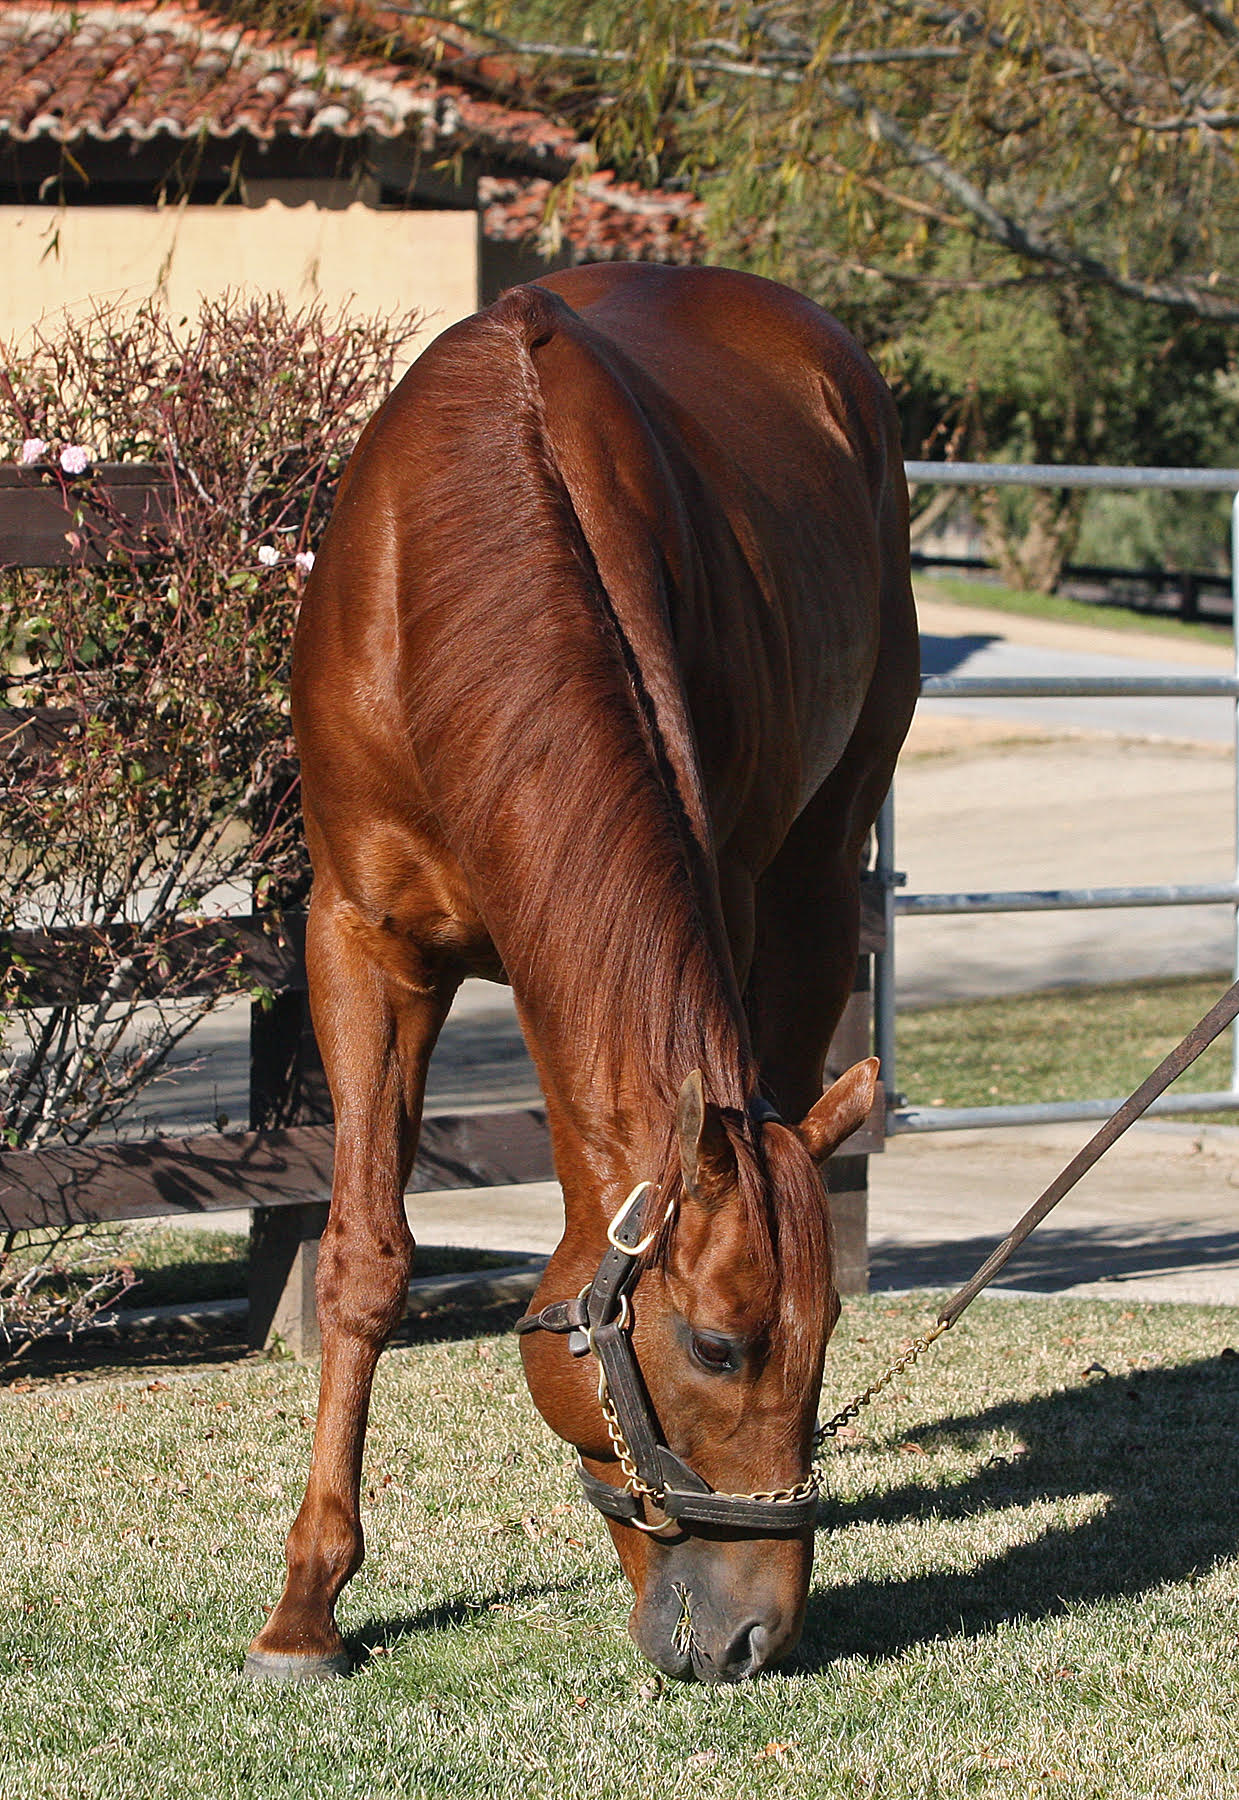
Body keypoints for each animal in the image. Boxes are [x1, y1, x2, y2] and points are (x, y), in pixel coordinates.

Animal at [241, 261, 918, 1677]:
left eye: (830, 1336)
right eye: (717, 1346)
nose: (752, 1636)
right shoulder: (359, 944)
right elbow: (364, 1259)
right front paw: (307, 1606)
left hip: (817, 881)